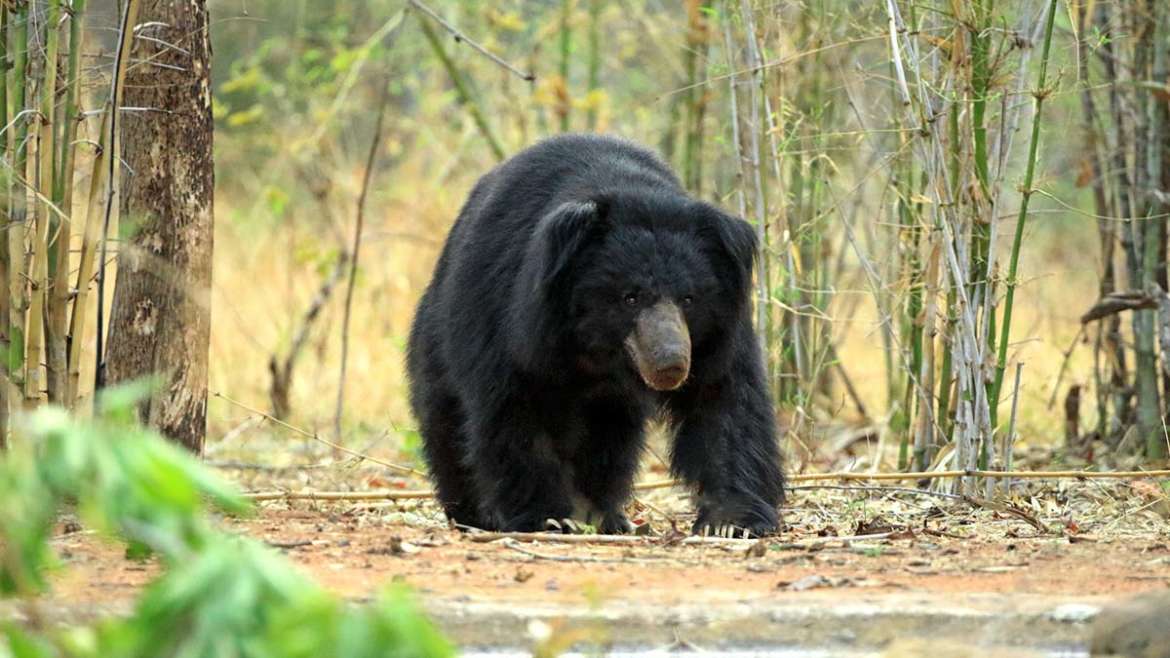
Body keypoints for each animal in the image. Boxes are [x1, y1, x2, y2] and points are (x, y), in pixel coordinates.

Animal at [409, 131, 786, 533]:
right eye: (630, 297)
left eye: (689, 298)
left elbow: (724, 402)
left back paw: (604, 514)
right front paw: (547, 517)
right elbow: (518, 410)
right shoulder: (512, 321)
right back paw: (474, 514)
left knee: (610, 446)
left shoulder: (718, 335)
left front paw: (731, 521)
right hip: (438, 341)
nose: (672, 364)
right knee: (446, 422)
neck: (601, 355)